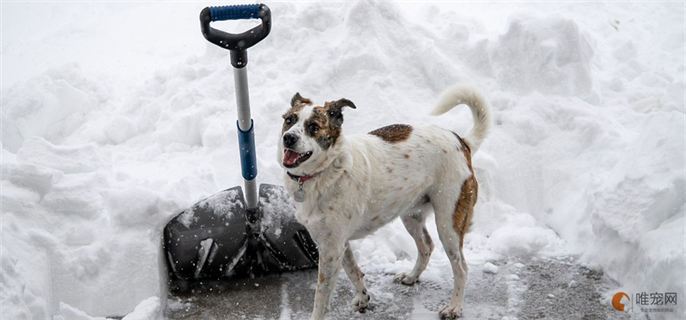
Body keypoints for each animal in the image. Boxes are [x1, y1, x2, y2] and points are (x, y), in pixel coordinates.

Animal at [276, 85, 492, 320]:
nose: (288, 138)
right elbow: (353, 271)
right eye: (289, 120)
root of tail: (462, 141)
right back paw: (411, 277)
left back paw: (454, 307)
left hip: (449, 222)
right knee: (426, 246)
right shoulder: (337, 243)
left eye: (313, 127)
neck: (325, 171)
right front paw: (363, 298)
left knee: (461, 267)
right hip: (411, 215)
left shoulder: (331, 249)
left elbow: (321, 296)